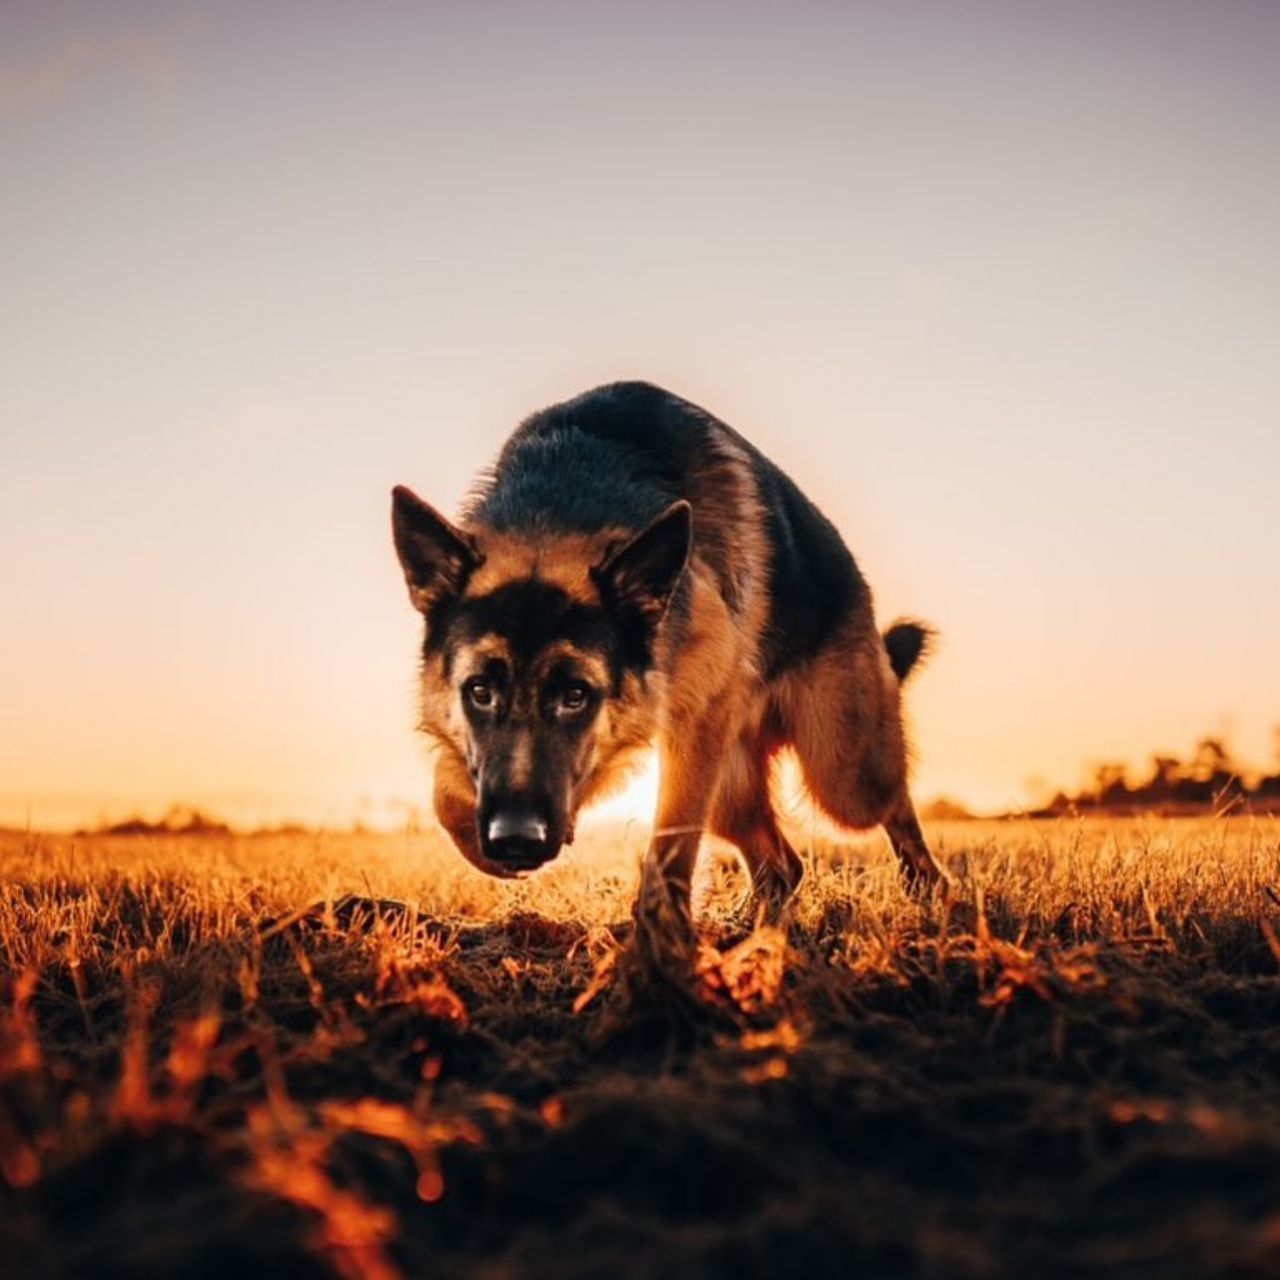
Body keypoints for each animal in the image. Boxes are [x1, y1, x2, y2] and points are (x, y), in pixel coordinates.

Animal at [386, 384, 942, 957]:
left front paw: (659, 947)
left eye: (576, 694)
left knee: (892, 807)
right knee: (782, 866)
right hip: (732, 790)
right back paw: (753, 935)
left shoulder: (694, 728)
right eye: (479, 691)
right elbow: (445, 799)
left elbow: (672, 844)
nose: (516, 838)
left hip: (841, 772)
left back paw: (928, 893)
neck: (559, 500)